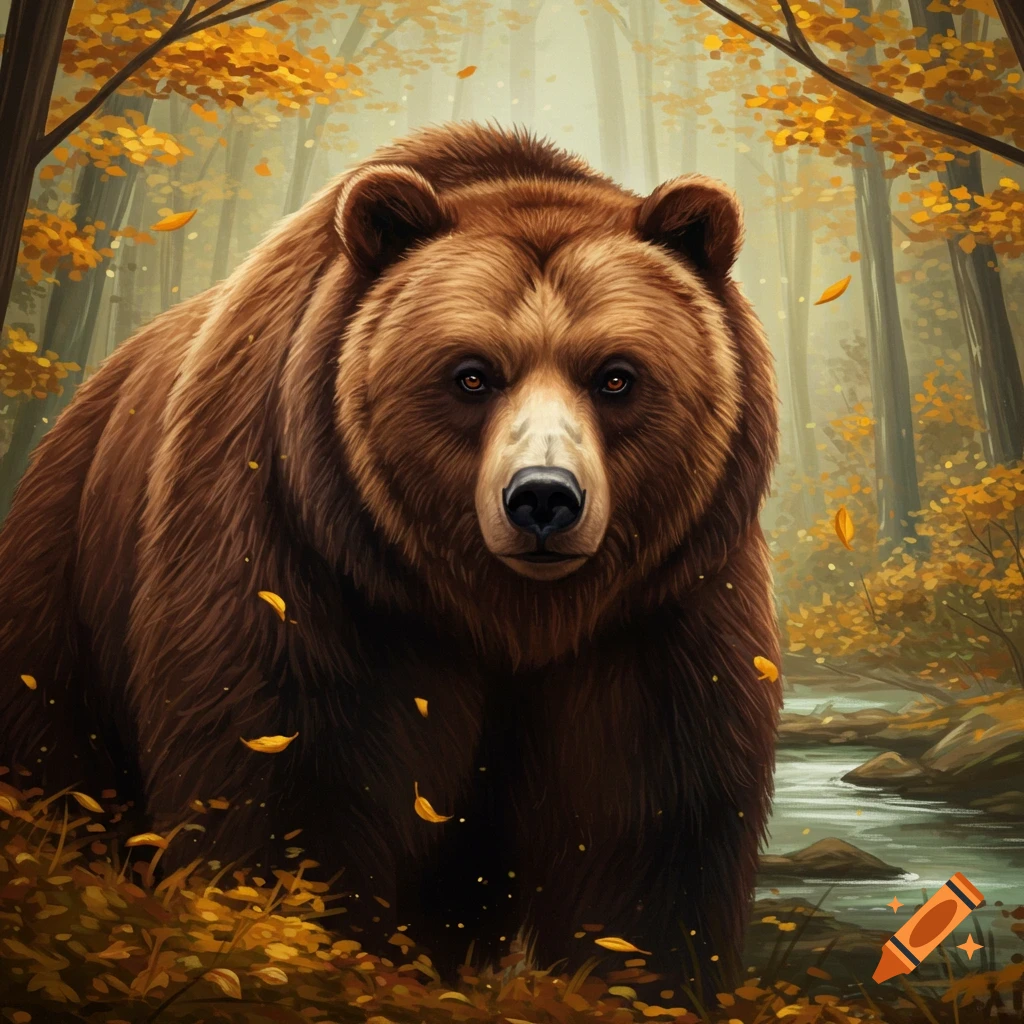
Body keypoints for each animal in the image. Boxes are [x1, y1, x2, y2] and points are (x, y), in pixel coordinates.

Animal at [0, 122, 781, 990]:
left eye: (616, 376)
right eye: (471, 374)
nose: (544, 497)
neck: (510, 612)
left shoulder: (661, 602)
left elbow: (650, 819)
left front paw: (641, 975)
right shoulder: (309, 562)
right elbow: (288, 778)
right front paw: (298, 945)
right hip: (64, 582)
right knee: (59, 757)